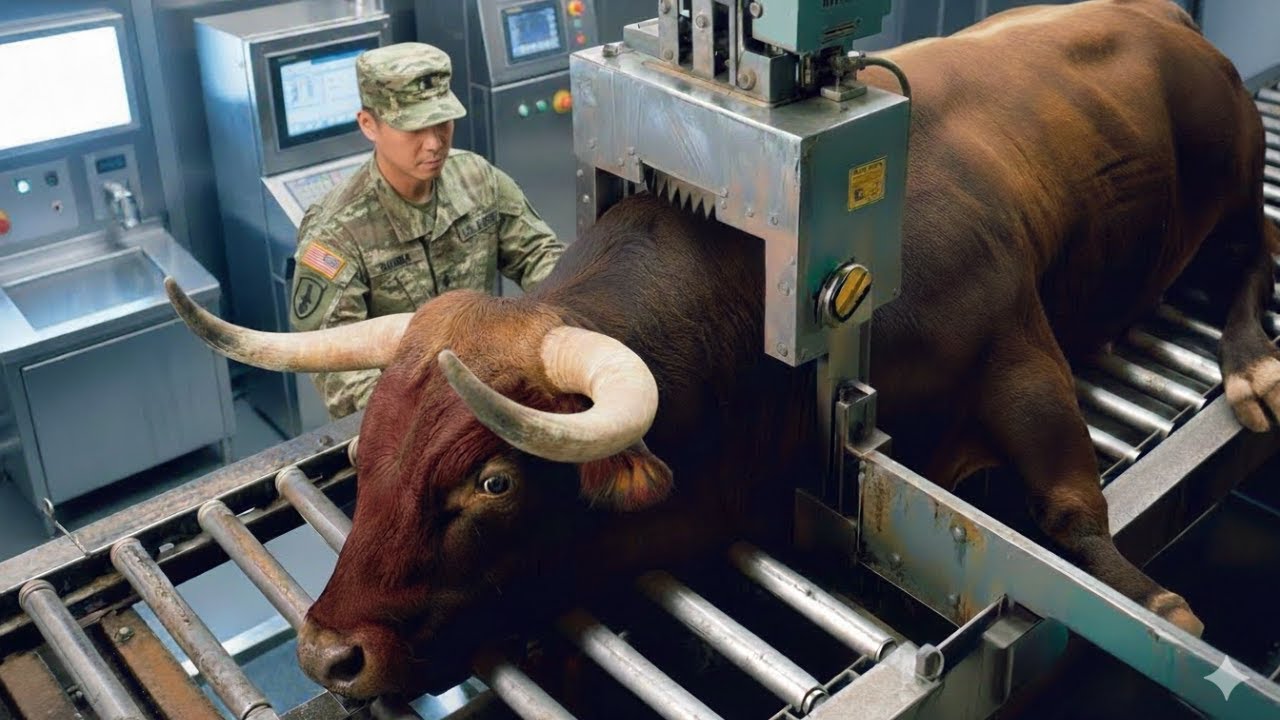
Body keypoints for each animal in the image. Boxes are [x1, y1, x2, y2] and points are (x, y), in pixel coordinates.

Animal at [164, 0, 1278, 702]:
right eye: (364, 451)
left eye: (492, 483)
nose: (328, 655)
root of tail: (1169, 16)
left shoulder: (1016, 345)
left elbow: (1071, 512)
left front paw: (1158, 606)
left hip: (1233, 173)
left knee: (1254, 251)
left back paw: (1250, 368)